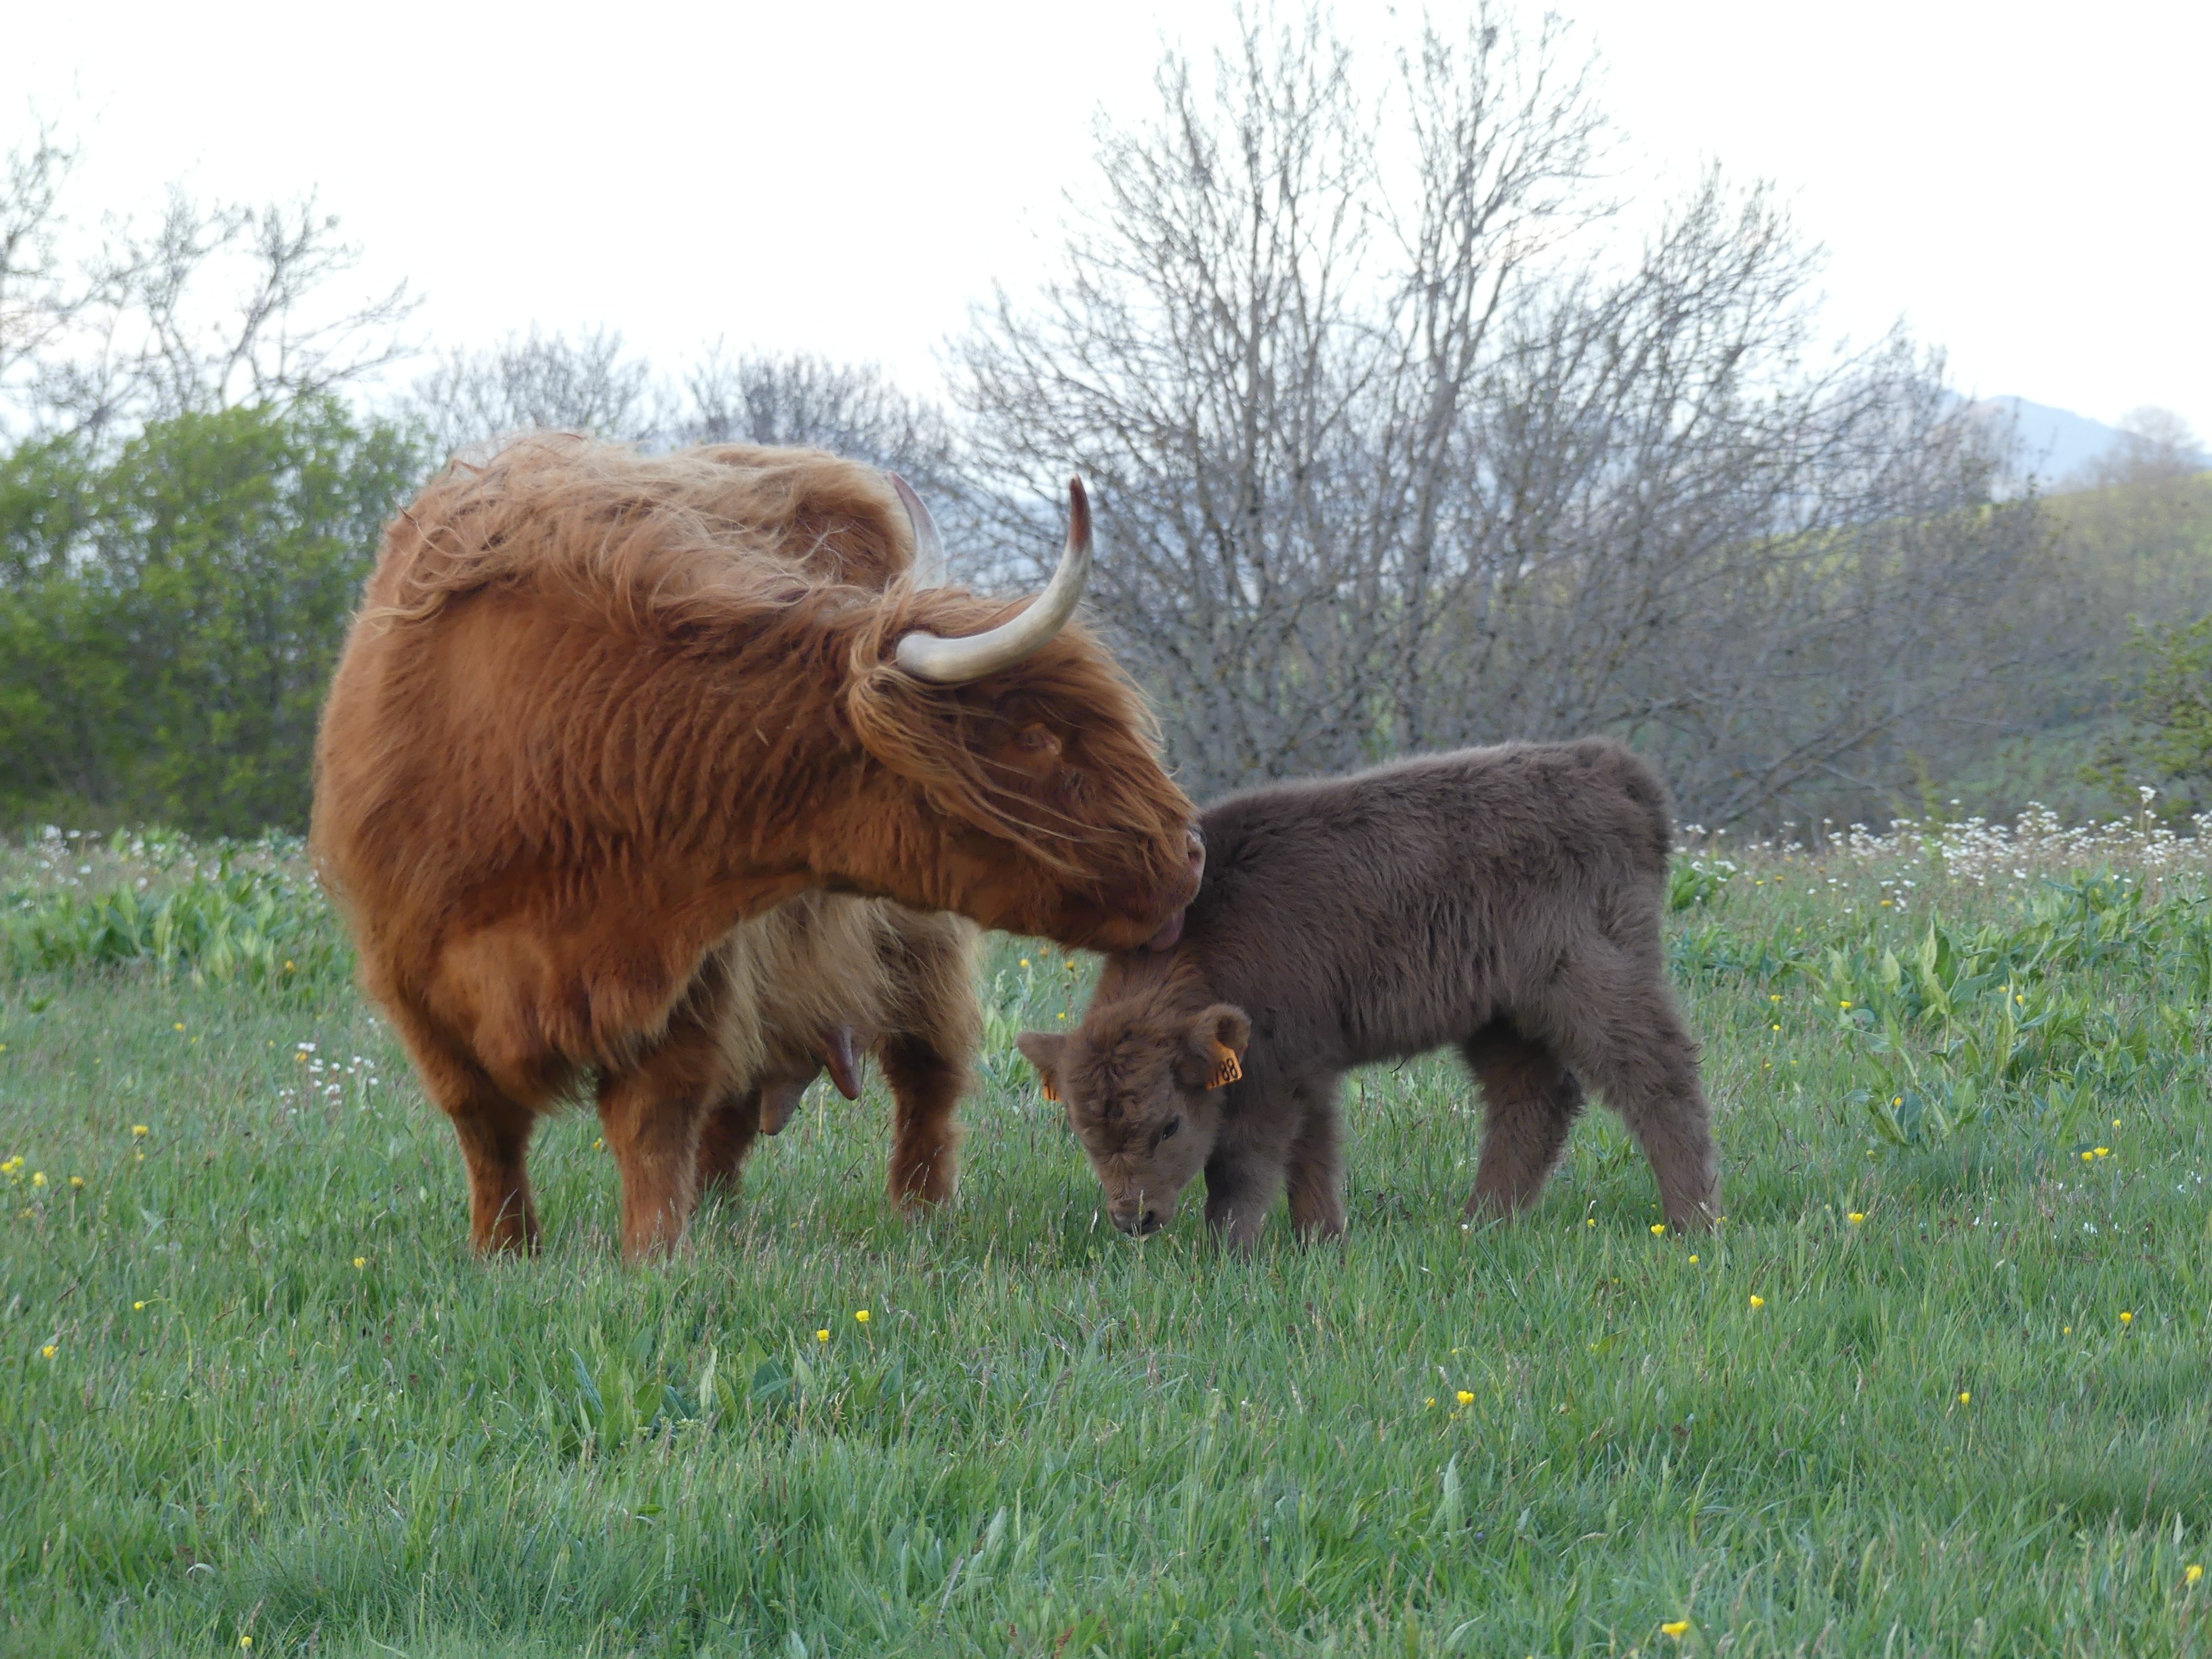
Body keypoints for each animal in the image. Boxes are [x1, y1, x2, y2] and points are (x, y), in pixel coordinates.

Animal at [314, 442, 1203, 1256]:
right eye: (1038, 736)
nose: (1192, 852)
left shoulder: (696, 975)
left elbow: (651, 1123)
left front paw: (652, 1260)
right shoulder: (418, 984)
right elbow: (485, 1127)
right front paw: (506, 1251)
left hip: (918, 947)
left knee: (927, 1077)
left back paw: (918, 1215)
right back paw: (718, 1212)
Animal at [1021, 739, 1725, 1247]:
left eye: (1168, 1125)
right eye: (1083, 1129)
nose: (1133, 1218)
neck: (1209, 926)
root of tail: (1611, 768)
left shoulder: (1274, 1074)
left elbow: (1242, 1164)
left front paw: (1229, 1251)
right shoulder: (1305, 1068)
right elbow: (1313, 1152)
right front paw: (1321, 1240)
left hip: (1592, 978)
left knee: (1657, 1075)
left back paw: (1693, 1222)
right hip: (1498, 1016)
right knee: (1534, 1098)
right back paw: (1480, 1224)